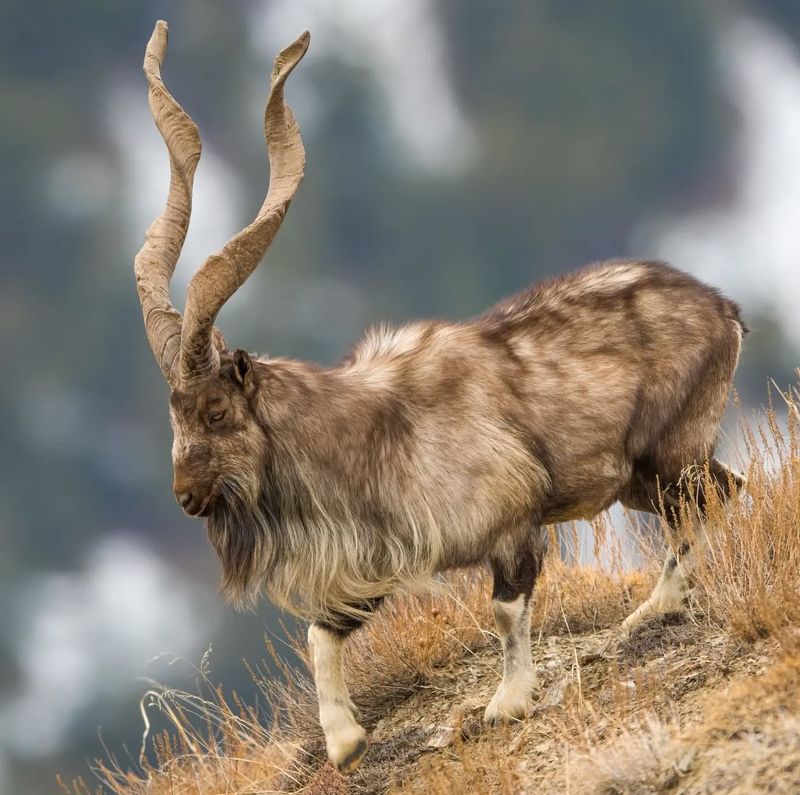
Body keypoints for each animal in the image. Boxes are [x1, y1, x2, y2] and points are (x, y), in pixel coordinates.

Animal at [136, 21, 744, 776]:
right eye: (173, 414)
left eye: (217, 411)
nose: (186, 496)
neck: (369, 432)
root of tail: (725, 310)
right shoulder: (375, 562)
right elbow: (321, 634)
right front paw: (344, 741)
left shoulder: (512, 523)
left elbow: (506, 609)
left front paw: (507, 702)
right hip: (639, 479)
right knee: (726, 491)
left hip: (671, 452)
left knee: (704, 503)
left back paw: (652, 610)